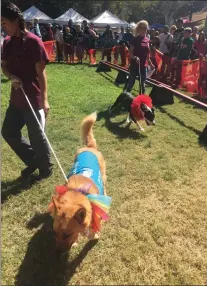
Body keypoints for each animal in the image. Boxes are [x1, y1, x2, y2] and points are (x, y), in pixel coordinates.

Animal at [48, 113, 111, 251]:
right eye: (55, 233)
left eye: (67, 235)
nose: (56, 252)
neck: (78, 193)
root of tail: (89, 148)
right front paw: (76, 240)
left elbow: (92, 233)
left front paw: (92, 235)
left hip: (103, 177)